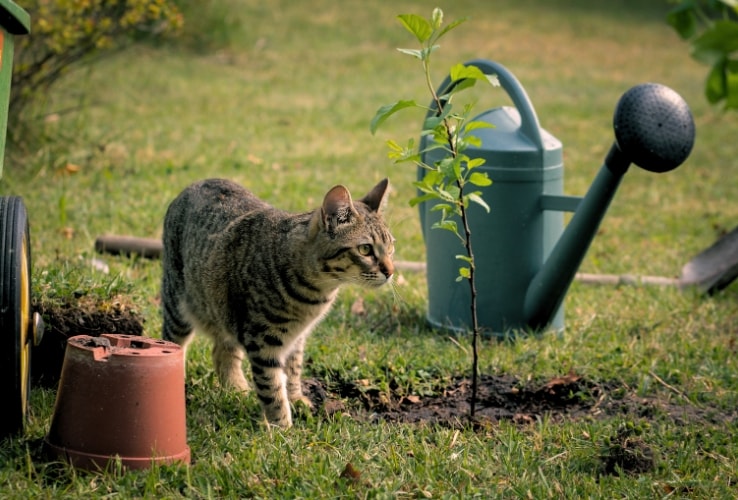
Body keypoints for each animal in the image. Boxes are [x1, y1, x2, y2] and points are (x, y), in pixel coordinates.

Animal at [160, 177, 392, 426]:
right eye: (365, 249)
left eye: (391, 247)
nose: (391, 272)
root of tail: (195, 183)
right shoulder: (263, 340)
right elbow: (272, 387)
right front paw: (281, 426)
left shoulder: (296, 338)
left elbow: (292, 371)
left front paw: (296, 399)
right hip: (177, 307)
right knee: (174, 344)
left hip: (224, 311)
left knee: (223, 352)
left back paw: (237, 390)